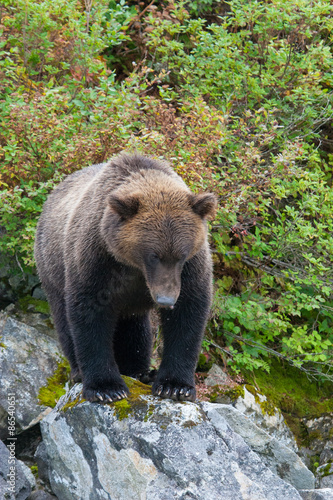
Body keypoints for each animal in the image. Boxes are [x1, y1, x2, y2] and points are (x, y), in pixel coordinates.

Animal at [33, 152, 215, 402]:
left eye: (181, 255)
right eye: (153, 255)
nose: (165, 300)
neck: (134, 266)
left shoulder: (189, 269)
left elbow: (188, 312)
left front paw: (175, 386)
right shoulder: (97, 257)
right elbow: (89, 314)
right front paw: (106, 388)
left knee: (136, 330)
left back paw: (140, 371)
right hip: (52, 267)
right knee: (64, 320)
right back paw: (79, 371)